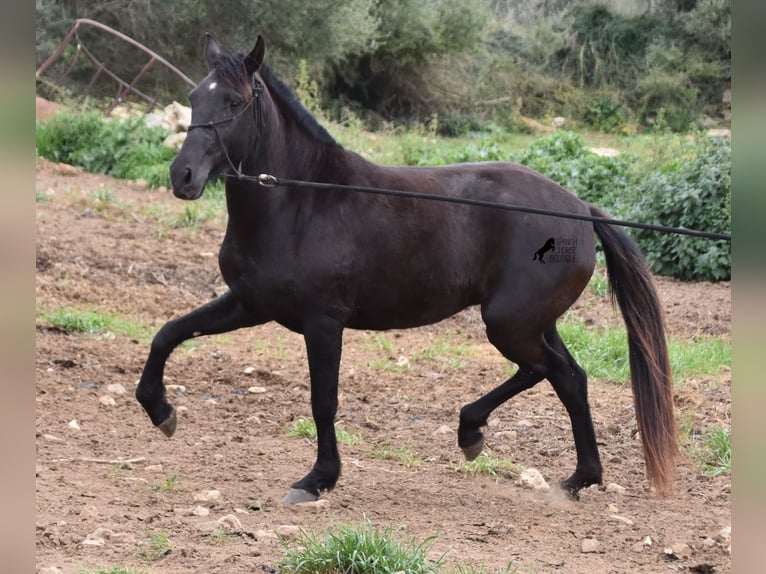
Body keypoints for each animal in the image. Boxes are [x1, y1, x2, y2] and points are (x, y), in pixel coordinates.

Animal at [136, 35, 680, 504]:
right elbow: (168, 334)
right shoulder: (250, 305)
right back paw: (568, 475)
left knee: (552, 372)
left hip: (510, 323)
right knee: (568, 378)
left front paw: (317, 480)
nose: (182, 176)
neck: (300, 201)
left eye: (233, 102)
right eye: (194, 96)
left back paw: (483, 436)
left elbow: (323, 401)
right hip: (531, 322)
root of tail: (581, 210)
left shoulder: (322, 323)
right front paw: (161, 411)